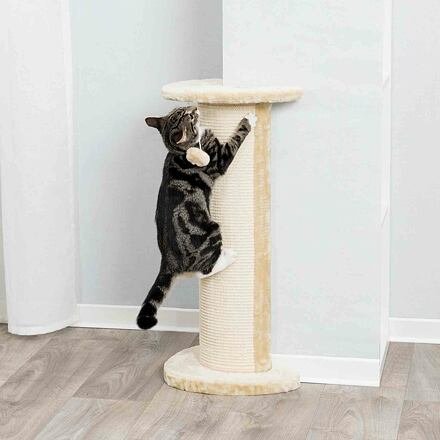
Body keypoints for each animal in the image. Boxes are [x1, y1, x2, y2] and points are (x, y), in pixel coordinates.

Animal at [137, 106, 256, 329]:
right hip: (212, 229)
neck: (181, 151)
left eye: (181, 109)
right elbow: (238, 136)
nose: (194, 107)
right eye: (189, 117)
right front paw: (249, 118)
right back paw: (229, 256)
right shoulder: (220, 158)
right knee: (204, 270)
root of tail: (168, 260)